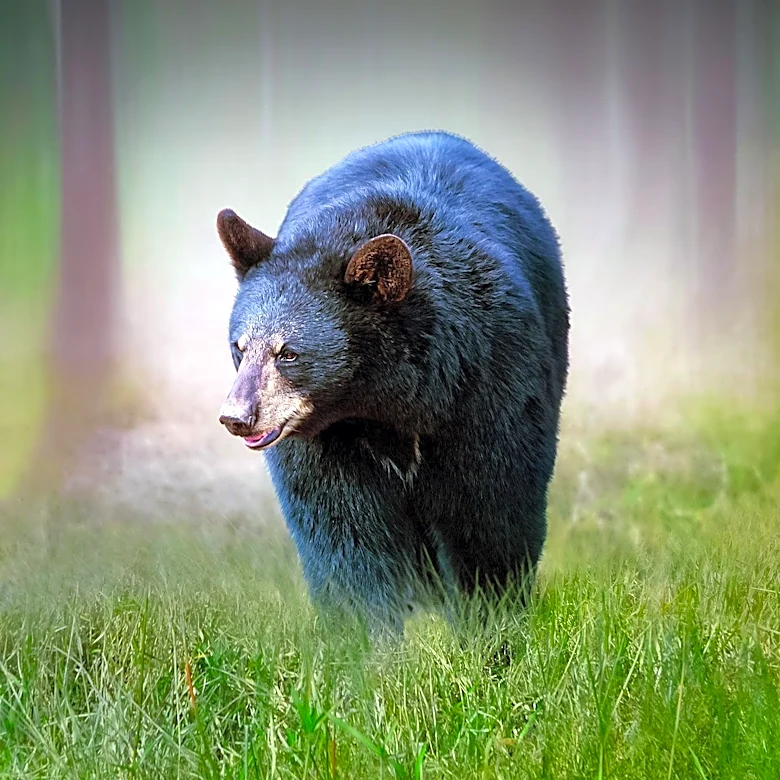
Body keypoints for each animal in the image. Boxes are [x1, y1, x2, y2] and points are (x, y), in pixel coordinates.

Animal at [216, 130, 569, 635]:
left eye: (289, 353)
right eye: (240, 347)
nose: (237, 417)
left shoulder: (489, 380)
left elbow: (489, 514)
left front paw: (493, 626)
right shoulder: (327, 440)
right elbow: (345, 531)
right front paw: (367, 636)